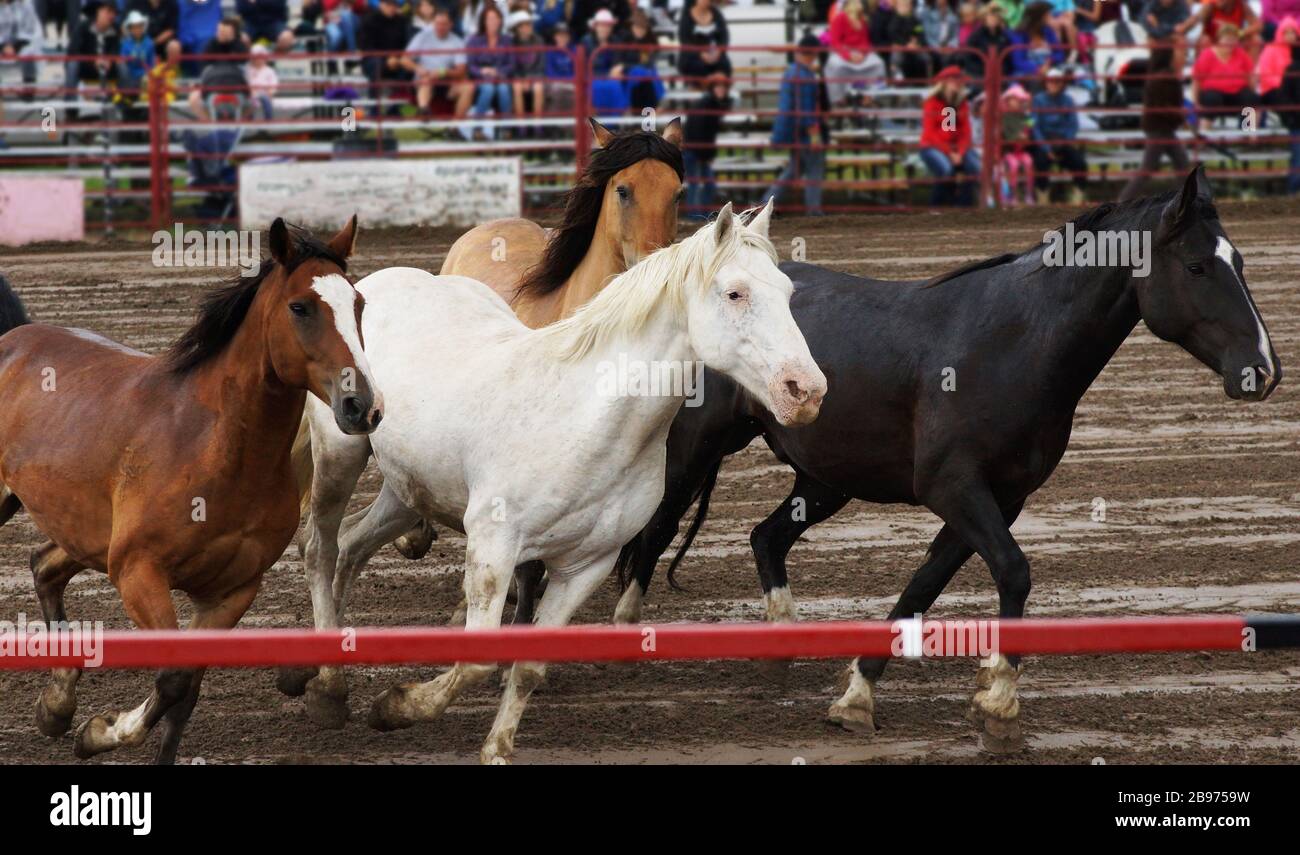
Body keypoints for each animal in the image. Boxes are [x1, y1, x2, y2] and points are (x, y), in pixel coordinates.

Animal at [0, 216, 379, 764]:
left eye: (358, 304)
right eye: (300, 307)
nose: (361, 406)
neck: (214, 445)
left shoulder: (232, 591)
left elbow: (187, 691)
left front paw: (90, 726)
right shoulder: (138, 573)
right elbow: (175, 677)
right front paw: (101, 730)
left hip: (86, 534)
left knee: (44, 565)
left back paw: (56, 705)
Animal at [297, 202, 821, 764]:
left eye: (786, 292)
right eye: (735, 293)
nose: (807, 390)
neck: (586, 416)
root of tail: (369, 287)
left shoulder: (585, 566)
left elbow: (528, 669)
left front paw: (497, 748)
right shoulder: (494, 547)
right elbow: (477, 659)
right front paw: (395, 708)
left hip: (407, 489)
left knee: (352, 546)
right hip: (340, 456)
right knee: (320, 549)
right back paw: (326, 689)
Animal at [608, 167, 1279, 753]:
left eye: (1240, 263)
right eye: (1196, 266)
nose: (1263, 370)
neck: (1016, 342)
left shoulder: (998, 498)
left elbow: (924, 586)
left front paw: (859, 695)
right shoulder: (954, 487)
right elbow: (1013, 572)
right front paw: (1000, 704)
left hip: (827, 479)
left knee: (765, 537)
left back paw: (779, 644)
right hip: (693, 450)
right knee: (657, 529)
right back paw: (626, 633)